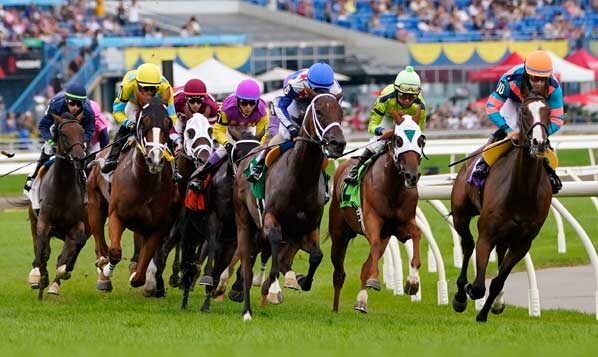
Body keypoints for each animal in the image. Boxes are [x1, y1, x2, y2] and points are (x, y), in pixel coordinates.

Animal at [25, 113, 88, 298]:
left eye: (82, 131)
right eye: (64, 133)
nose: (79, 157)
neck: (62, 187)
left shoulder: (76, 227)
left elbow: (63, 260)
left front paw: (57, 280)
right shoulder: (43, 222)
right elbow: (42, 251)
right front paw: (35, 276)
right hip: (33, 221)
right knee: (40, 248)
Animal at [97, 97, 178, 290]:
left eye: (168, 123)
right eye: (144, 122)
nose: (155, 158)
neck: (143, 183)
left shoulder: (157, 226)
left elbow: (142, 269)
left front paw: (138, 275)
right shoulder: (116, 214)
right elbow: (115, 251)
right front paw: (108, 270)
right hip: (94, 205)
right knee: (100, 241)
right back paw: (102, 271)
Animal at [234, 92, 346, 320]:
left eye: (341, 112)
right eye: (319, 111)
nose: (338, 143)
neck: (300, 179)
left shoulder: (308, 227)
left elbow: (316, 256)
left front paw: (301, 280)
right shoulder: (270, 219)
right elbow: (275, 253)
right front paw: (274, 288)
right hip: (244, 222)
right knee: (247, 266)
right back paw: (247, 309)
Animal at [328, 111, 426, 312]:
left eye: (421, 140)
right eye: (398, 140)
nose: (412, 176)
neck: (392, 188)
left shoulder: (401, 224)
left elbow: (417, 234)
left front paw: (413, 282)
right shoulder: (372, 220)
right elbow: (372, 244)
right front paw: (374, 280)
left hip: (385, 237)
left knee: (365, 265)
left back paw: (361, 301)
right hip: (339, 233)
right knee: (339, 271)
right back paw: (335, 308)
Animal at [454, 92, 552, 322]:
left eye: (548, 112)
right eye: (524, 112)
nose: (539, 143)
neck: (521, 191)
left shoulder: (523, 243)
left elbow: (498, 281)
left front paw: (484, 313)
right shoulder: (486, 234)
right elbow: (478, 286)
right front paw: (469, 291)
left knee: (498, 253)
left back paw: (497, 302)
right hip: (460, 214)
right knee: (467, 244)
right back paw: (460, 295)